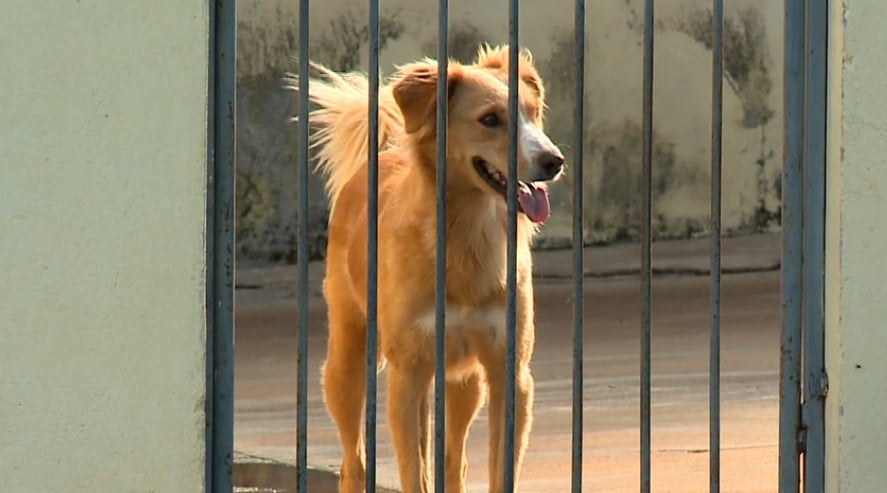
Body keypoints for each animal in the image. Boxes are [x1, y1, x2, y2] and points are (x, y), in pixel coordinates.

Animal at [288, 44, 564, 490]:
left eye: (532, 112)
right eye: (490, 119)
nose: (554, 161)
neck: (466, 236)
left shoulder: (510, 374)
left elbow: (497, 468)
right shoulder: (408, 374)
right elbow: (412, 471)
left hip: (463, 382)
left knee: (453, 461)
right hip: (348, 365)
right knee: (354, 462)